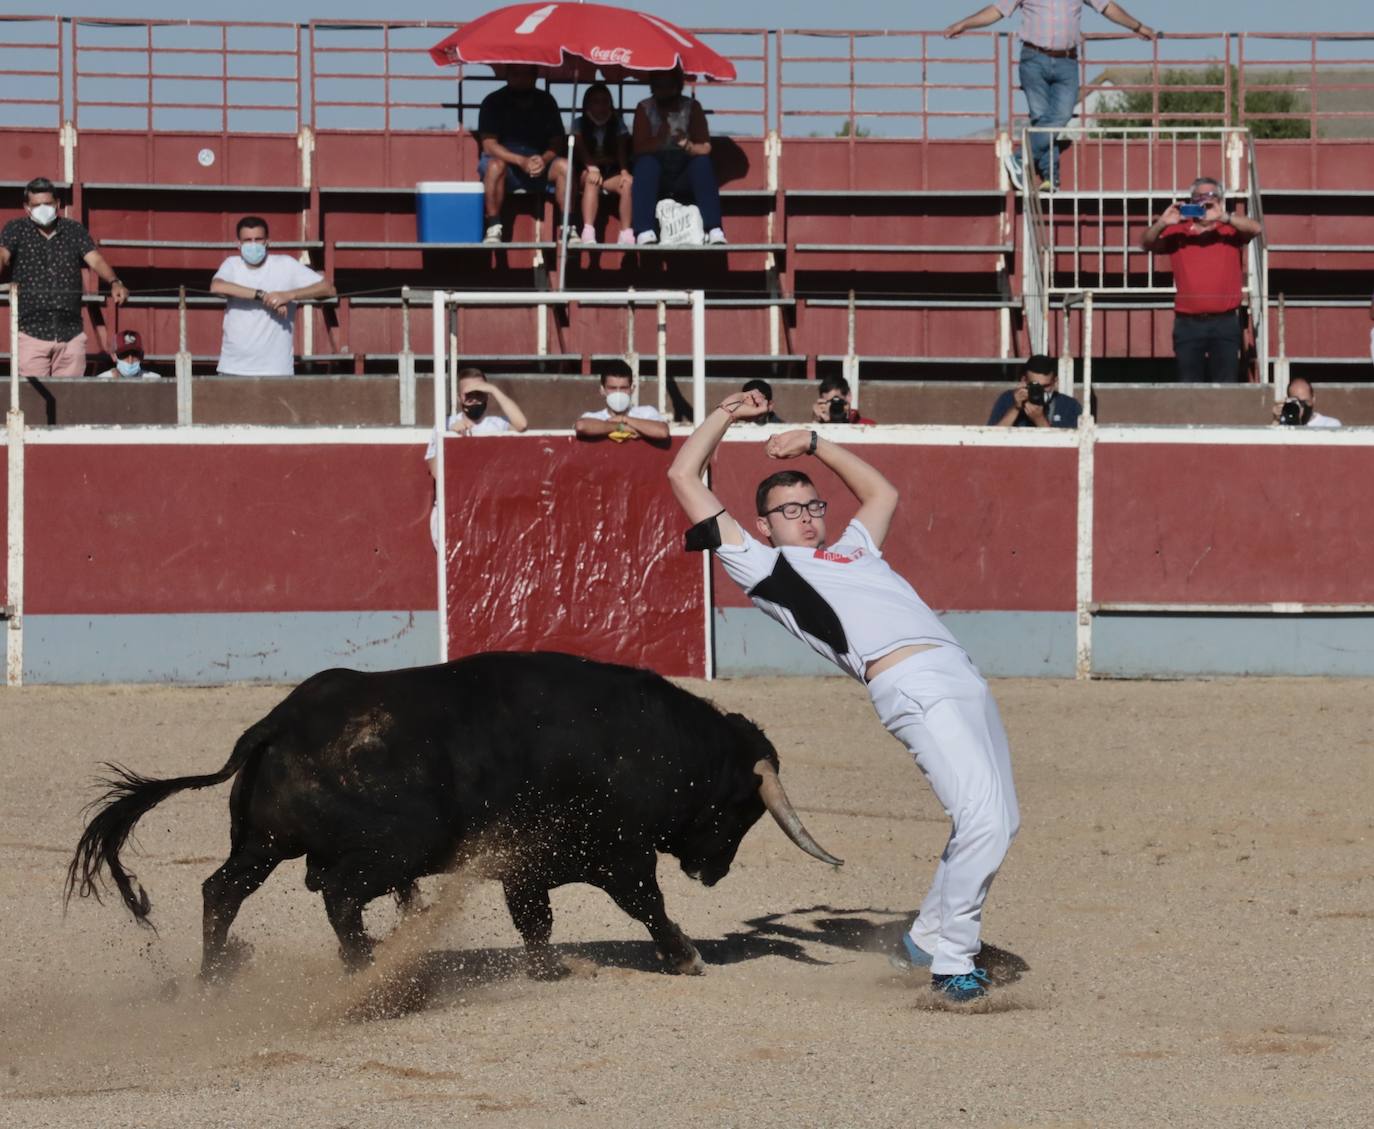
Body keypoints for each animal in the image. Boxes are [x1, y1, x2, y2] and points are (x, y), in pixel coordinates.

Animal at [69, 653, 840, 983]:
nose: (714, 872)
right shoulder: (619, 855)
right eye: (741, 810)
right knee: (339, 895)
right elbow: (646, 904)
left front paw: (548, 969)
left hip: (264, 844)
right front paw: (686, 954)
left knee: (224, 889)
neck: (651, 742)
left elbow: (535, 920)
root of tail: (279, 722)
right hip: (390, 848)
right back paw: (369, 969)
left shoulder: (526, 865)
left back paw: (214, 973)